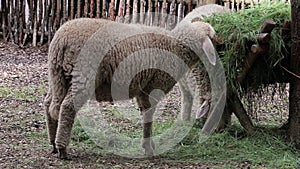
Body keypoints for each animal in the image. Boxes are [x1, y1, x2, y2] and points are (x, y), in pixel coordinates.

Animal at [44, 4, 227, 160]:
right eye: (212, 36)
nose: (223, 42)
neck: (175, 46)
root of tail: (62, 40)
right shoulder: (154, 86)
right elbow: (149, 116)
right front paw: (149, 148)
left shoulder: (143, 88)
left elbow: (146, 114)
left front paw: (148, 145)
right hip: (83, 74)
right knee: (67, 107)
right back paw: (62, 149)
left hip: (57, 75)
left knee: (50, 104)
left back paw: (52, 142)